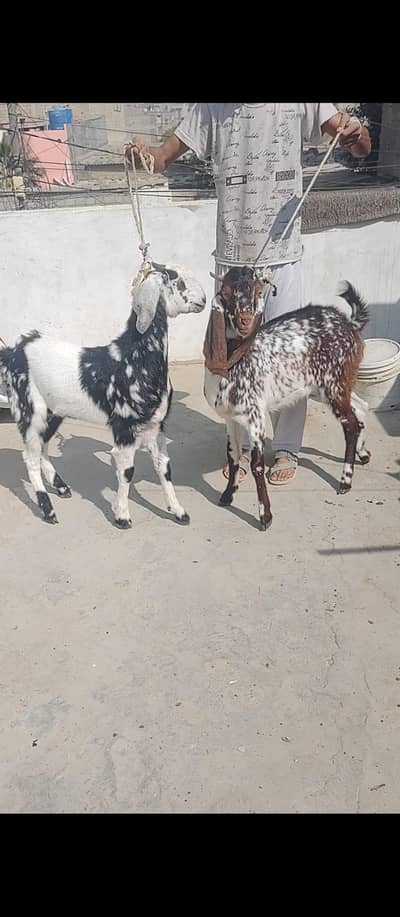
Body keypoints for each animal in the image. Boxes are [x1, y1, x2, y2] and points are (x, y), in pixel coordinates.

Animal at [0, 263, 206, 527]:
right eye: (177, 281)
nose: (203, 299)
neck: (136, 357)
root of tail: (13, 352)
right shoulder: (124, 427)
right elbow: (127, 470)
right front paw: (122, 515)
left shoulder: (156, 426)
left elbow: (164, 467)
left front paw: (178, 511)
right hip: (29, 409)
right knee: (30, 457)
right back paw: (48, 510)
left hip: (54, 412)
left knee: (43, 446)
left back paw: (61, 486)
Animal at [204, 266, 370, 531]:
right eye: (226, 292)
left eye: (258, 291)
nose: (244, 320)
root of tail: (349, 323)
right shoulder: (230, 418)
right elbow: (232, 457)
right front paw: (227, 495)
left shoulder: (255, 417)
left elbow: (256, 465)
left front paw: (265, 516)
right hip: (332, 384)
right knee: (361, 407)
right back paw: (363, 455)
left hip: (333, 384)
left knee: (351, 424)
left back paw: (345, 481)